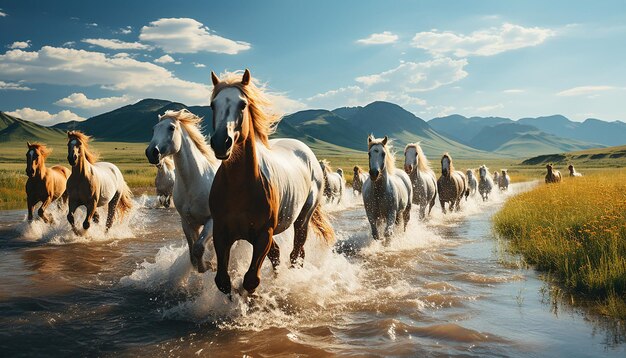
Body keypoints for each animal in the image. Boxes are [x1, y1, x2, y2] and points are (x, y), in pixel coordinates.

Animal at [144, 107, 219, 272]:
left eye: (171, 128)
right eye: (153, 129)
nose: (152, 152)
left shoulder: (212, 221)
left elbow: (199, 247)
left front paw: (208, 266)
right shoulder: (187, 222)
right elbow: (193, 250)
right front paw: (202, 265)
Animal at [207, 68, 334, 296]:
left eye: (242, 104)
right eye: (213, 104)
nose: (221, 142)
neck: (240, 187)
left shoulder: (263, 235)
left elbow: (251, 280)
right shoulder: (221, 233)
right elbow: (223, 281)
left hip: (302, 219)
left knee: (296, 253)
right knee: (277, 254)